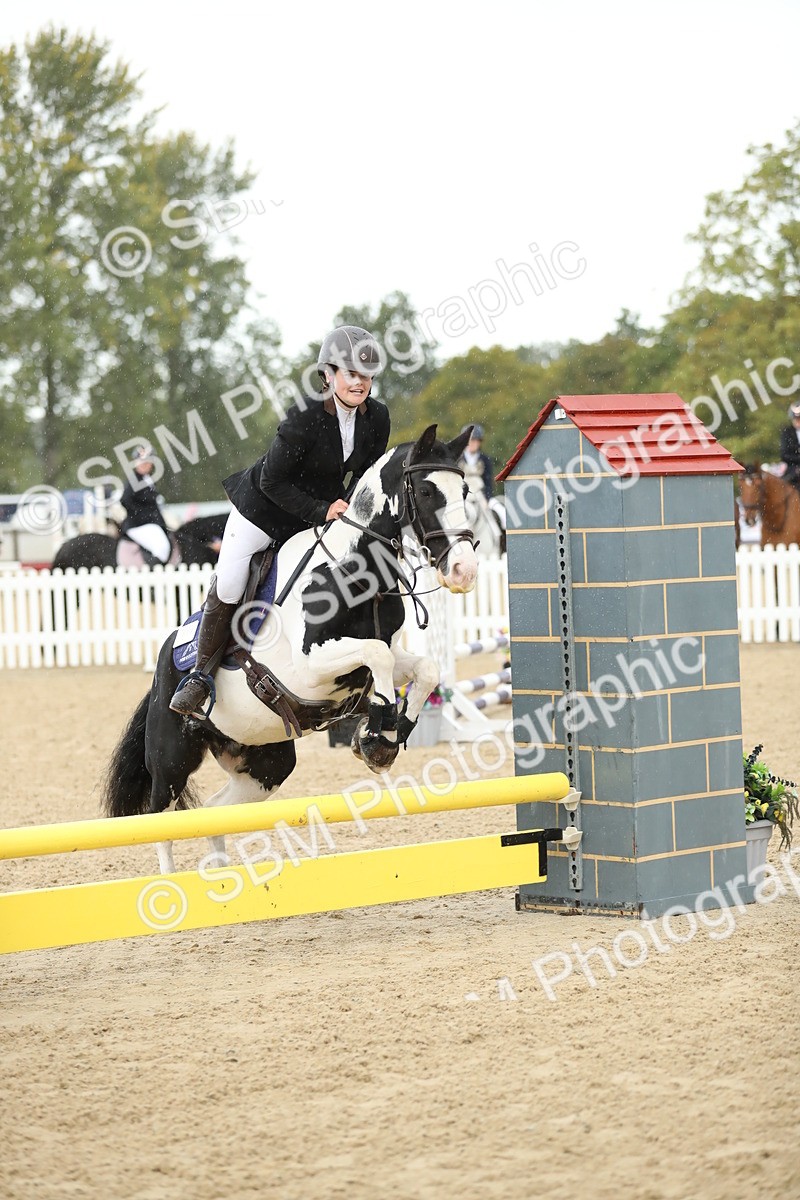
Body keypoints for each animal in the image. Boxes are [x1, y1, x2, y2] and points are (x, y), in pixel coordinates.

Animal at [101, 425, 479, 874]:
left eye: (465, 491)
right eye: (424, 491)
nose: (465, 571)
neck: (355, 573)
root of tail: (163, 669)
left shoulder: (382, 654)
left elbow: (422, 669)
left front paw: (387, 732)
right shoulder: (310, 668)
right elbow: (378, 656)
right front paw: (377, 730)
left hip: (266, 763)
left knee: (213, 811)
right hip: (172, 756)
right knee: (161, 819)